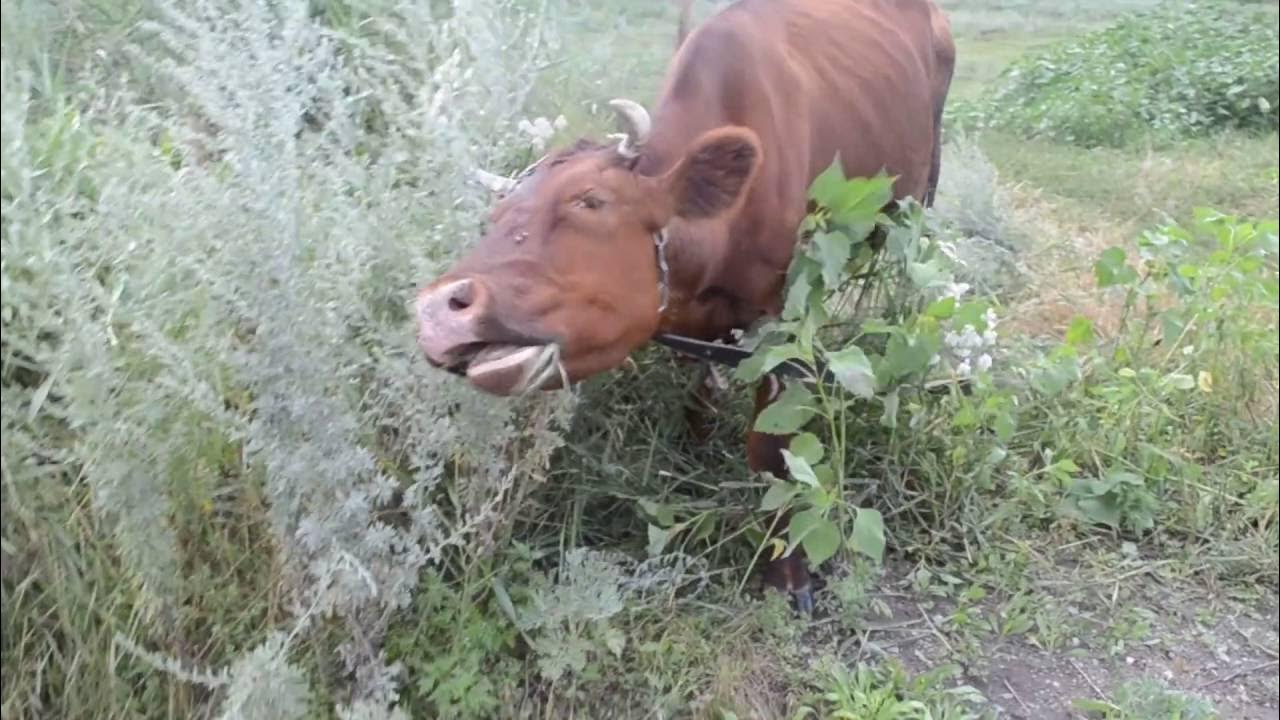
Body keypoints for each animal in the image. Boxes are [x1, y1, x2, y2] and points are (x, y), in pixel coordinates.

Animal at [416, 0, 956, 612]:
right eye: (496, 217)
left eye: (591, 200)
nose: (438, 309)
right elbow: (700, 380)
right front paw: (697, 431)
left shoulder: (782, 322)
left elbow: (773, 452)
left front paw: (787, 574)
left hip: (917, 197)